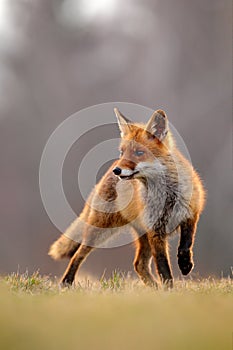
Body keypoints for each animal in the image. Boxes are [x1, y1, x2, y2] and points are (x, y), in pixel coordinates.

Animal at [48, 108, 205, 288]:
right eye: (122, 152)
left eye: (139, 153)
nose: (117, 170)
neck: (166, 198)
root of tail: (105, 174)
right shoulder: (155, 232)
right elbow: (163, 267)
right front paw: (169, 290)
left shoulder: (191, 214)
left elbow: (186, 243)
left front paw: (185, 264)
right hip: (100, 229)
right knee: (78, 254)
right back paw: (66, 282)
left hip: (141, 236)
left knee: (139, 265)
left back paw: (154, 287)